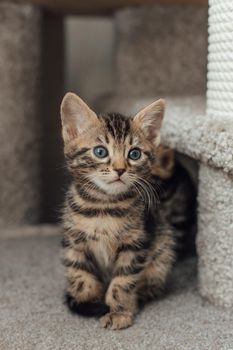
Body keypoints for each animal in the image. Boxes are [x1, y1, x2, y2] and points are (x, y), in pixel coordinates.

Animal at [61, 91, 185, 330]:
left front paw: (119, 312)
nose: (120, 169)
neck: (103, 206)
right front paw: (88, 299)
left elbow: (123, 282)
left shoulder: (136, 243)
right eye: (100, 151)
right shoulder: (74, 240)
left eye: (134, 154)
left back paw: (143, 293)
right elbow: (79, 274)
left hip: (164, 243)